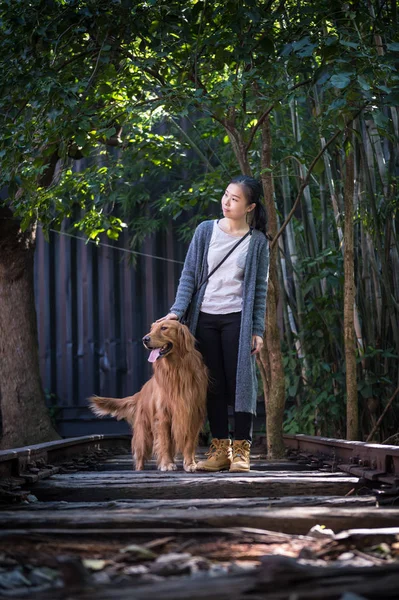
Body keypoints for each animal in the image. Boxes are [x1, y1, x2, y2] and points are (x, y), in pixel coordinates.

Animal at [89, 322, 208, 472]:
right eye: (152, 328)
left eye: (164, 328)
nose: (144, 339)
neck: (176, 369)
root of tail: (141, 392)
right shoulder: (163, 416)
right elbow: (164, 442)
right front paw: (166, 464)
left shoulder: (192, 414)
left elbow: (189, 443)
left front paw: (190, 463)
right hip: (143, 433)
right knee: (140, 456)